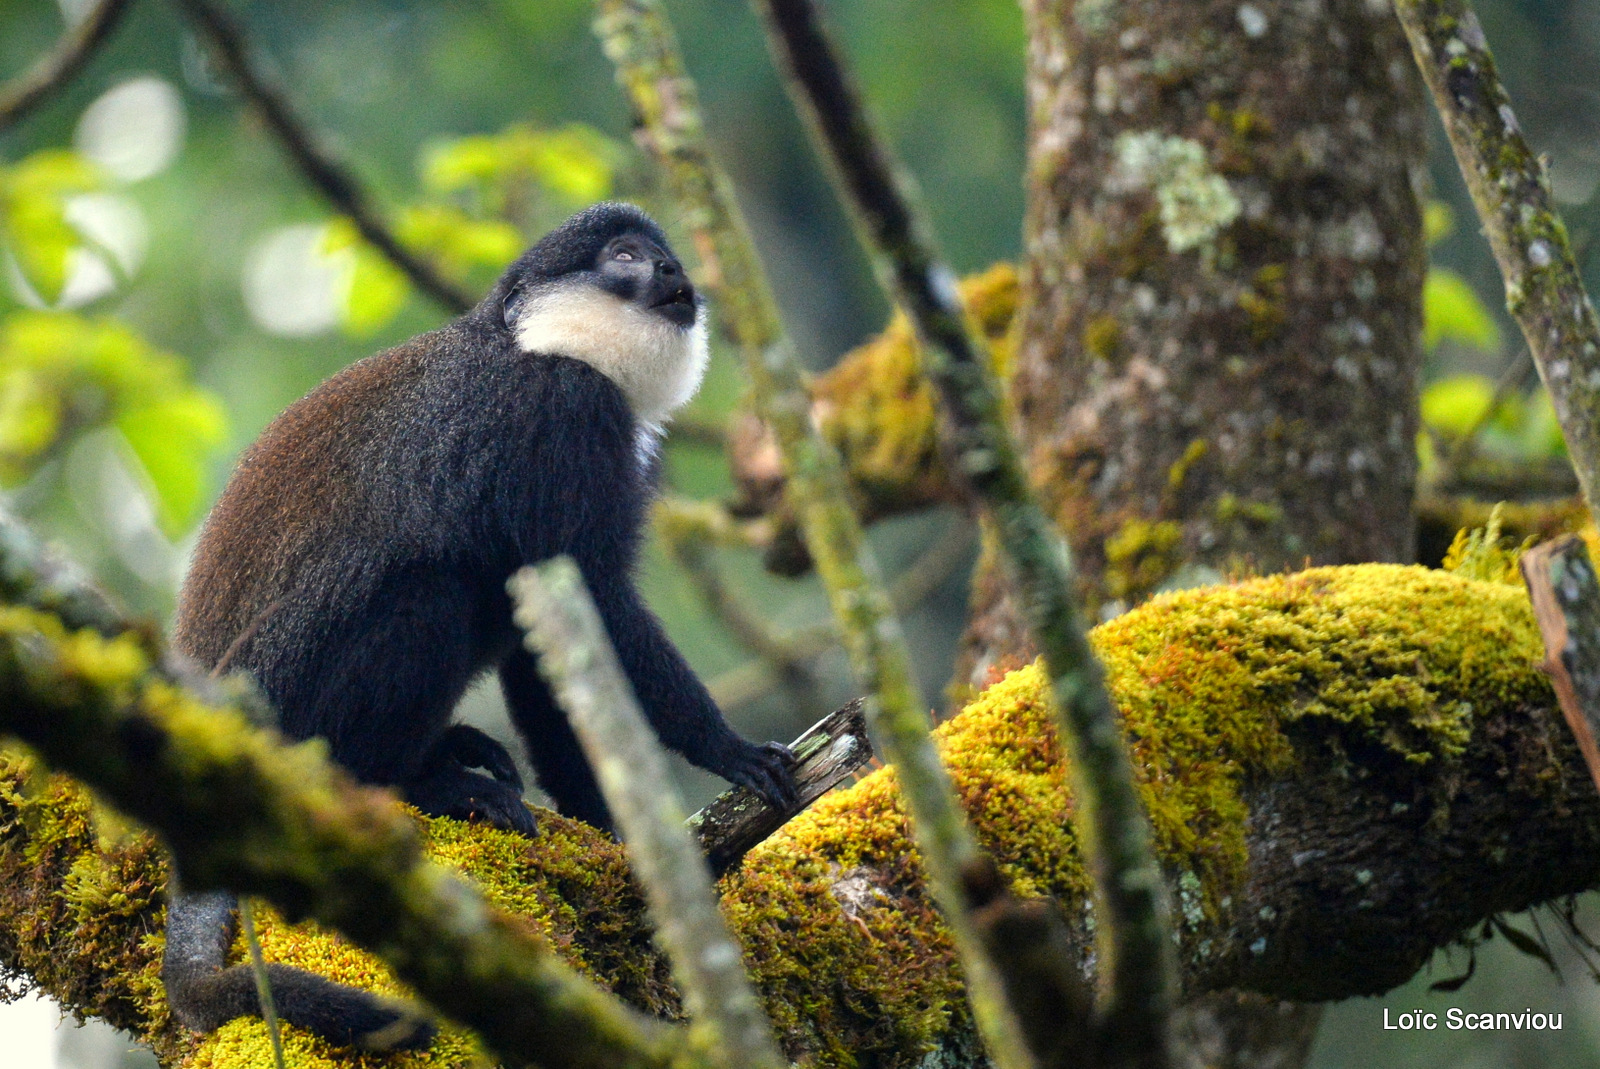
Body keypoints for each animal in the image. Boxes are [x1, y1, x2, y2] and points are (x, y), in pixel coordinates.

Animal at [165, 204, 800, 1049]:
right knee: (429, 593)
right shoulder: (557, 412)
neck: (544, 343)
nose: (674, 274)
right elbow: (598, 603)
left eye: (662, 256)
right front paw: (726, 748)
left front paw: (612, 834)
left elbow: (553, 648)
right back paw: (413, 779)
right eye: (626, 257)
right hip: (286, 695)